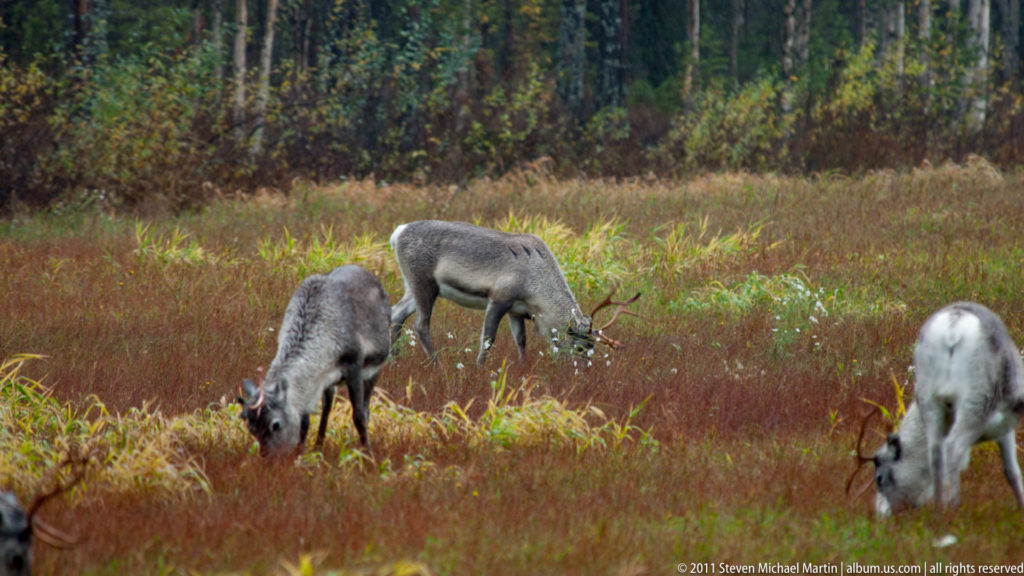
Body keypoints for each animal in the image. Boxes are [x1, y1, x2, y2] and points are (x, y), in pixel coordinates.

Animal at [237, 265, 391, 458]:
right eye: (252, 429)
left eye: (276, 424)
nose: (269, 459)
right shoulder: (314, 381)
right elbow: (305, 422)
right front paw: (300, 454)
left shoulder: (354, 366)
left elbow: (359, 416)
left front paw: (368, 455)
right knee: (327, 407)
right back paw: (318, 445)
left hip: (374, 369)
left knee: (366, 407)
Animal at [388, 220, 639, 365]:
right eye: (579, 346)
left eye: (592, 349)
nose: (583, 375)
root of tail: (397, 233)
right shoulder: (499, 299)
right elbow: (488, 339)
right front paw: (480, 369)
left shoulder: (517, 311)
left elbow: (521, 341)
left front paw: (522, 369)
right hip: (424, 283)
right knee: (420, 325)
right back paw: (436, 364)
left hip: (413, 287)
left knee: (396, 313)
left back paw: (393, 361)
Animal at [850, 302, 1024, 517]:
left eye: (880, 478)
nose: (882, 514)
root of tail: (953, 327)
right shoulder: (1004, 424)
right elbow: (1012, 472)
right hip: (975, 403)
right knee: (953, 448)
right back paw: (953, 507)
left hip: (929, 399)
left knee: (936, 451)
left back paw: (939, 509)